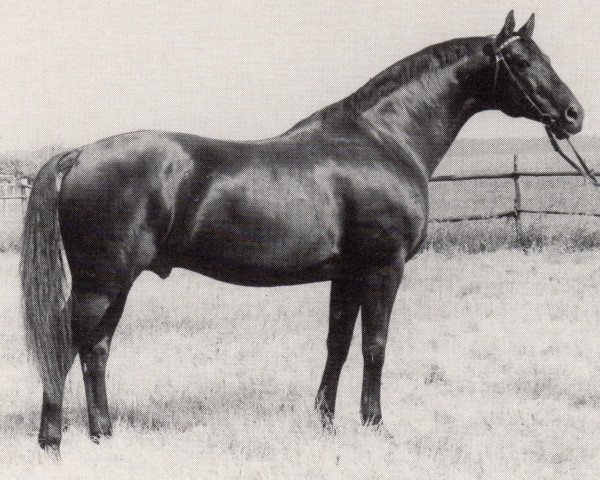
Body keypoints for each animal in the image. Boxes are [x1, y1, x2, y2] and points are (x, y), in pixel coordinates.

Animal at [22, 11, 580, 454]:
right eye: (522, 62)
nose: (574, 115)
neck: (385, 140)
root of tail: (79, 154)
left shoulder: (347, 273)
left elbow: (338, 343)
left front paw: (326, 422)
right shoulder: (384, 269)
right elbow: (375, 344)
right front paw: (375, 424)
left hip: (115, 284)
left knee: (95, 350)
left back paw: (103, 434)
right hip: (101, 282)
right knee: (67, 345)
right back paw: (53, 440)